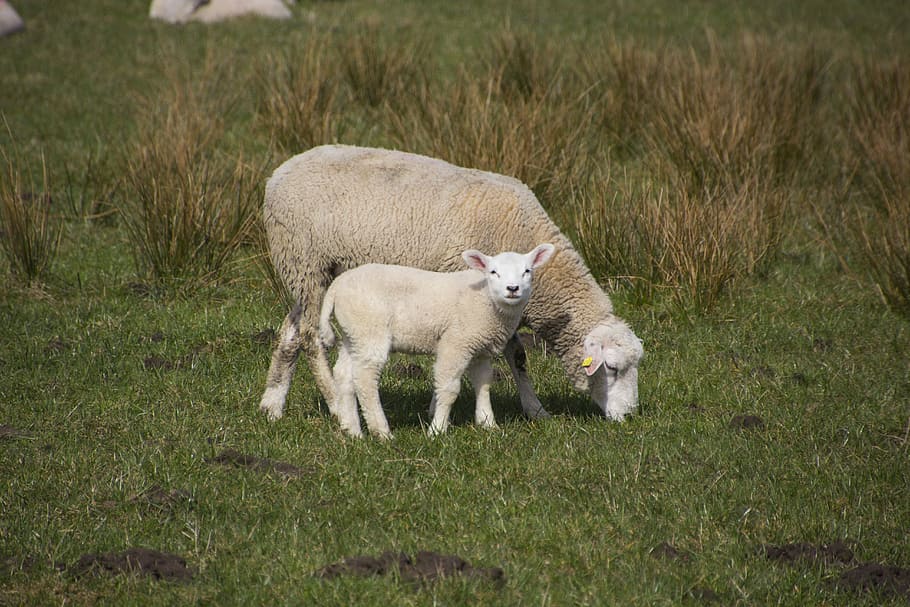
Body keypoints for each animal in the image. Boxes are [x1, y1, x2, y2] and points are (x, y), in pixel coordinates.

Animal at [319, 244, 555, 438]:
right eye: (493, 272)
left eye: (527, 271)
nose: (513, 289)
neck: (487, 300)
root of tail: (337, 286)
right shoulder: (456, 342)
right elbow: (449, 389)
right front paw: (437, 430)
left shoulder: (479, 347)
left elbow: (483, 383)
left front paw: (488, 423)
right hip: (370, 329)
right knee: (365, 378)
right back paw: (382, 432)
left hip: (353, 333)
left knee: (344, 374)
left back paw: (353, 431)